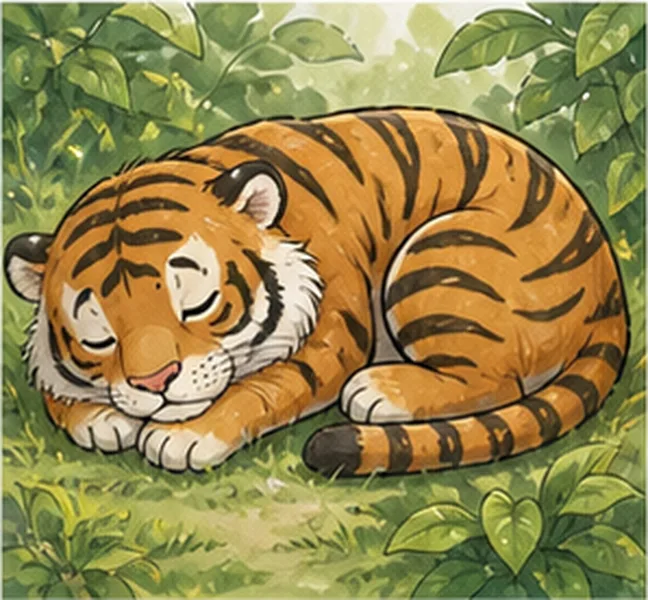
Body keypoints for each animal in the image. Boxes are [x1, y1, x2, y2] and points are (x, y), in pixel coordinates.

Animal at [5, 107, 629, 476]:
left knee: (497, 382)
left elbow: (259, 389)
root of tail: (609, 287)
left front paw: (183, 435)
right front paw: (98, 418)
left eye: (197, 304)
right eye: (99, 336)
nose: (155, 384)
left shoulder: (331, 337)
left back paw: (381, 388)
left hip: (440, 256)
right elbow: (56, 386)